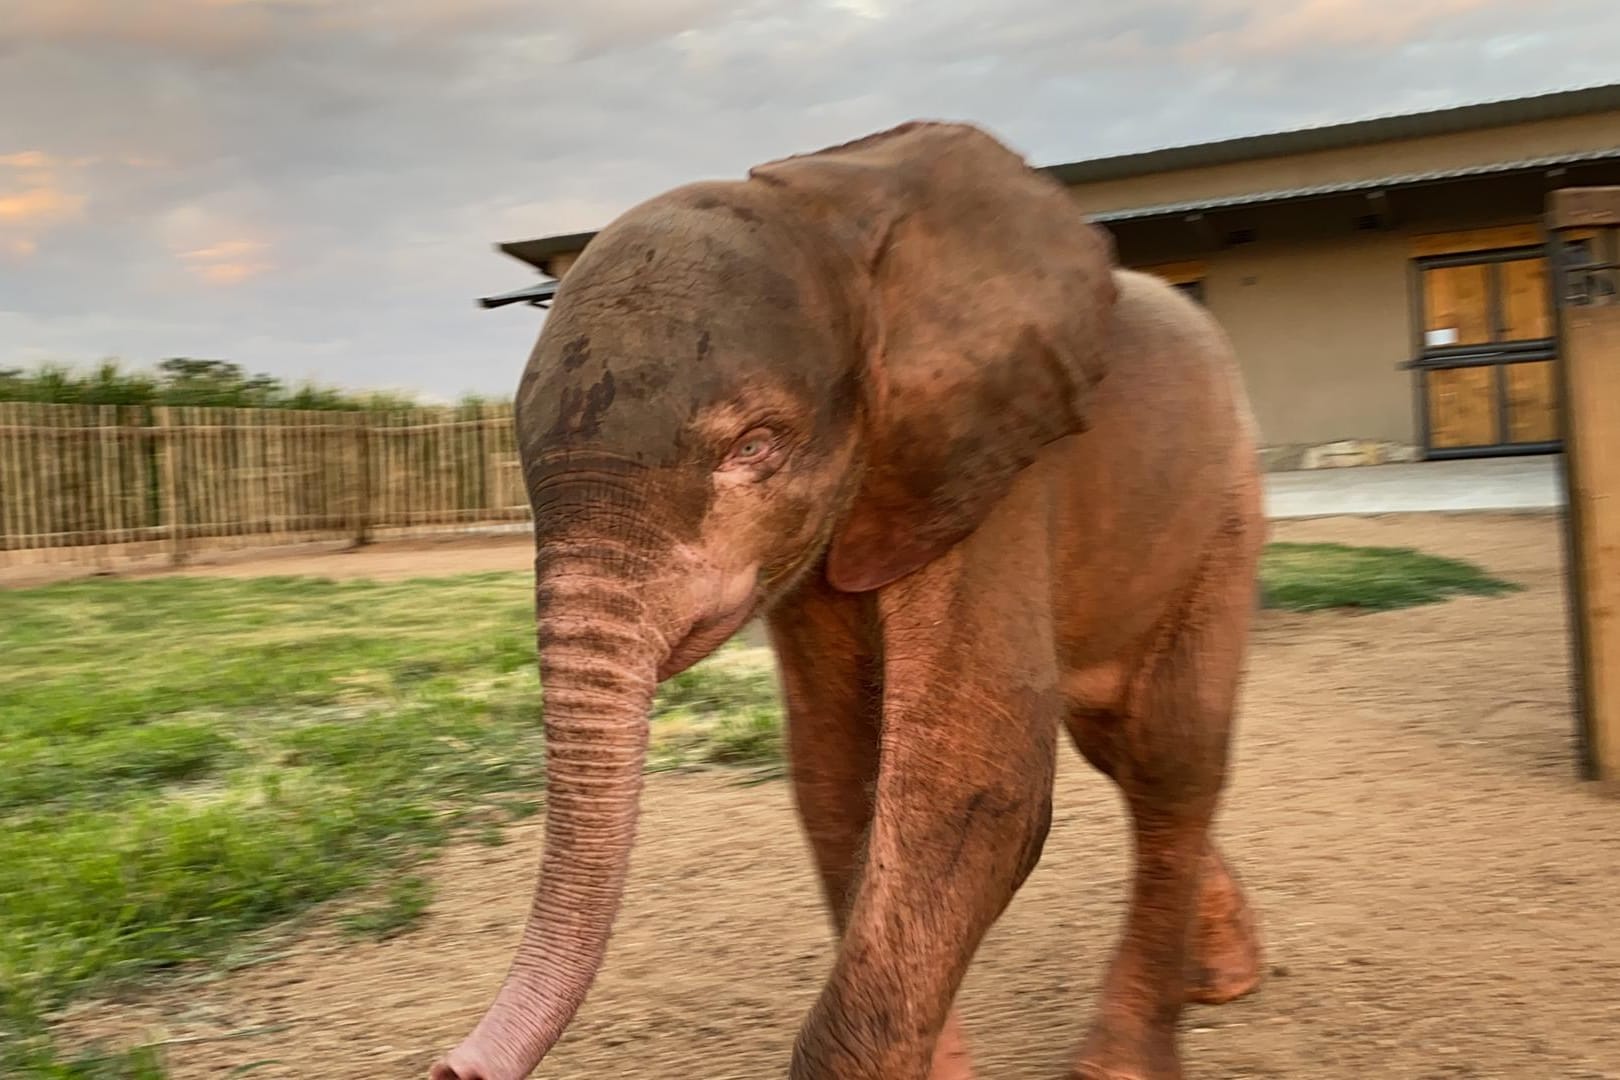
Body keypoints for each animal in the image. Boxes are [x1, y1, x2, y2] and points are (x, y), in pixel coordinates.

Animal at [437, 120, 1270, 1080]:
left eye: (756, 446)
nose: (451, 1066)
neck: (830, 212)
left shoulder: (997, 468)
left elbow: (970, 788)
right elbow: (836, 772)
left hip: (1225, 501)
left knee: (1171, 750)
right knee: (1121, 745)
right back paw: (1223, 977)